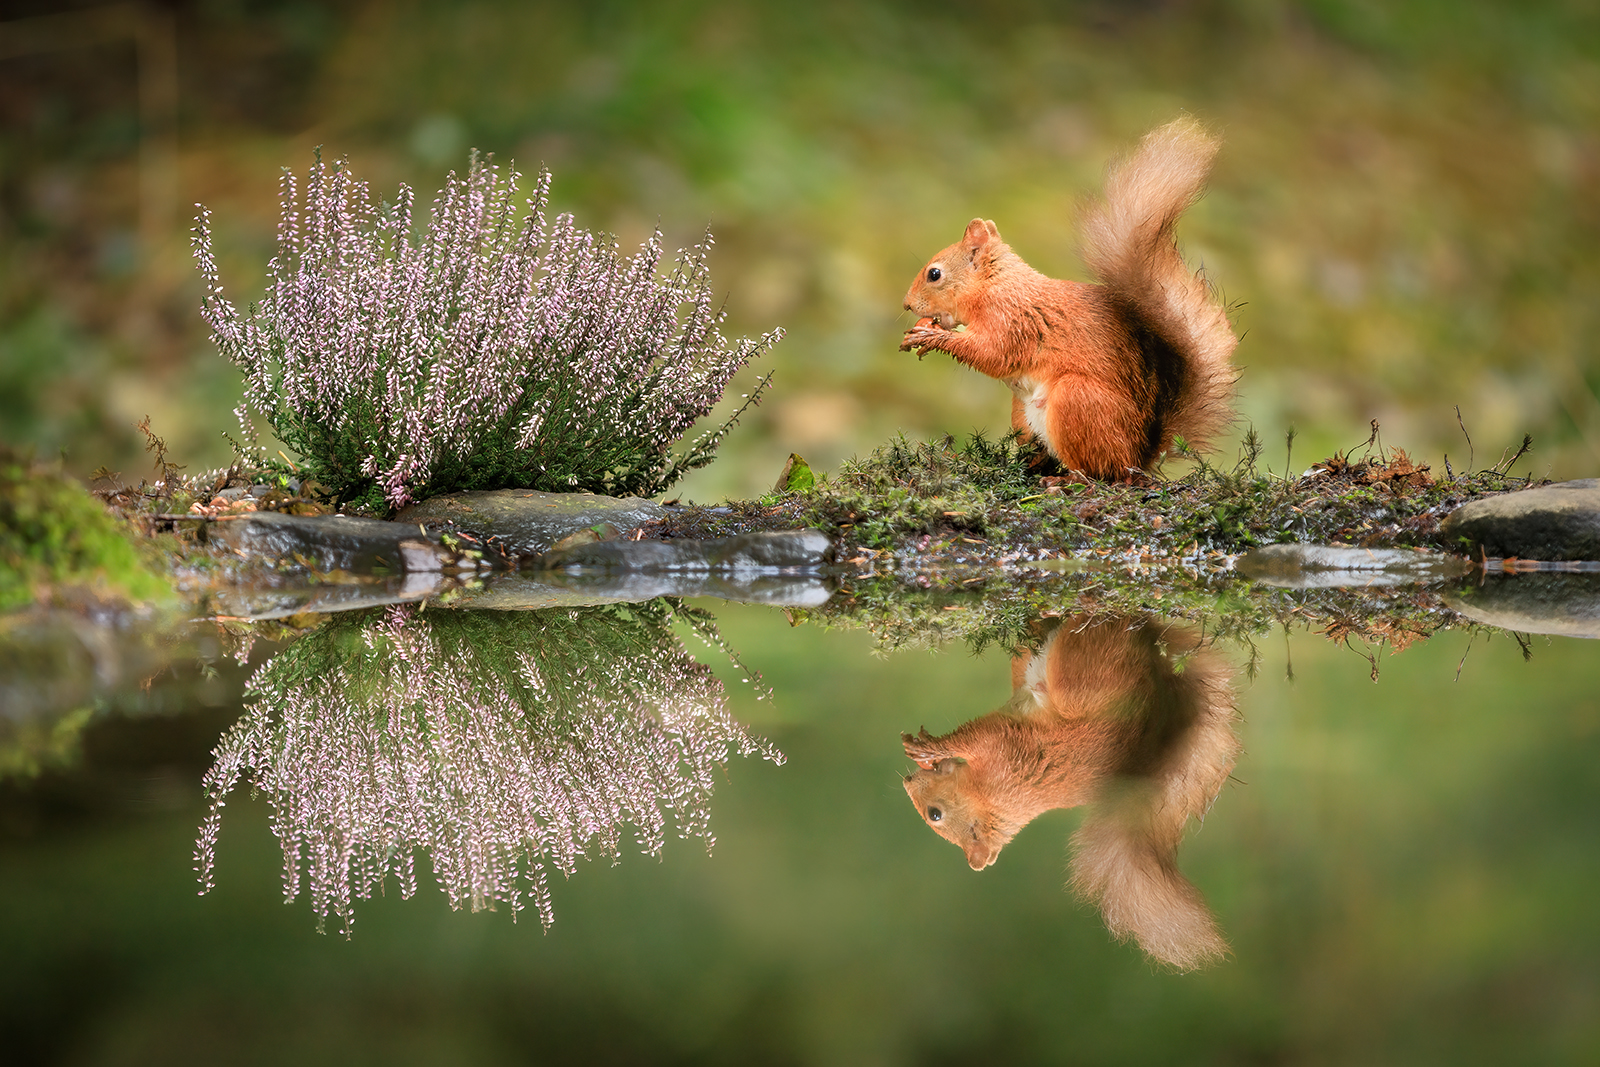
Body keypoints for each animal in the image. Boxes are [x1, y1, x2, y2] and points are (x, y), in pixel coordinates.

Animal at [899, 117, 1238, 480]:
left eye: (934, 274)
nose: (907, 305)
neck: (997, 286)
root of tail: (1139, 456)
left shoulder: (1013, 320)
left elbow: (993, 354)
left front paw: (932, 337)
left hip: (1076, 400)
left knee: (1102, 472)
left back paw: (1068, 480)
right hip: (1023, 415)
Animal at [901, 614, 1240, 972]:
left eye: (934, 814)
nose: (906, 782)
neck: (997, 800)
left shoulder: (1006, 751)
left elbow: (975, 736)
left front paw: (931, 748)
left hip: (1080, 667)